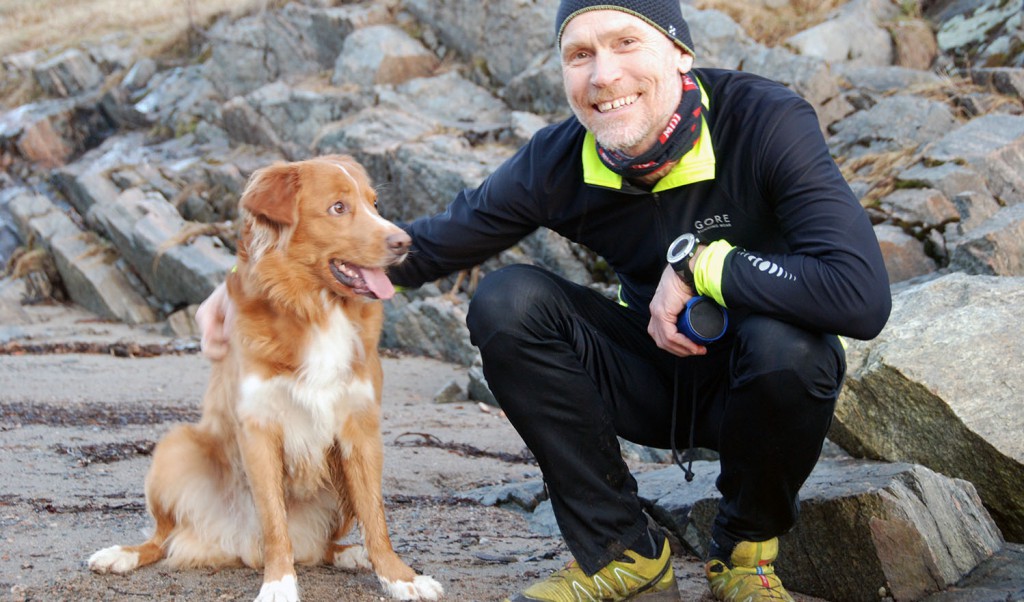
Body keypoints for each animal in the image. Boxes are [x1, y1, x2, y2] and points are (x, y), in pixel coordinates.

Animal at [88, 155, 443, 602]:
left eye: (374, 203)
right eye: (338, 207)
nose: (404, 242)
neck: (315, 308)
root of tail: (236, 545)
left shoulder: (361, 428)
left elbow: (376, 517)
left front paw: (400, 577)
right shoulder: (258, 428)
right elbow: (275, 523)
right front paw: (279, 584)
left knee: (326, 545)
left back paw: (351, 554)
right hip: (175, 447)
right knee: (161, 539)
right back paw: (121, 555)